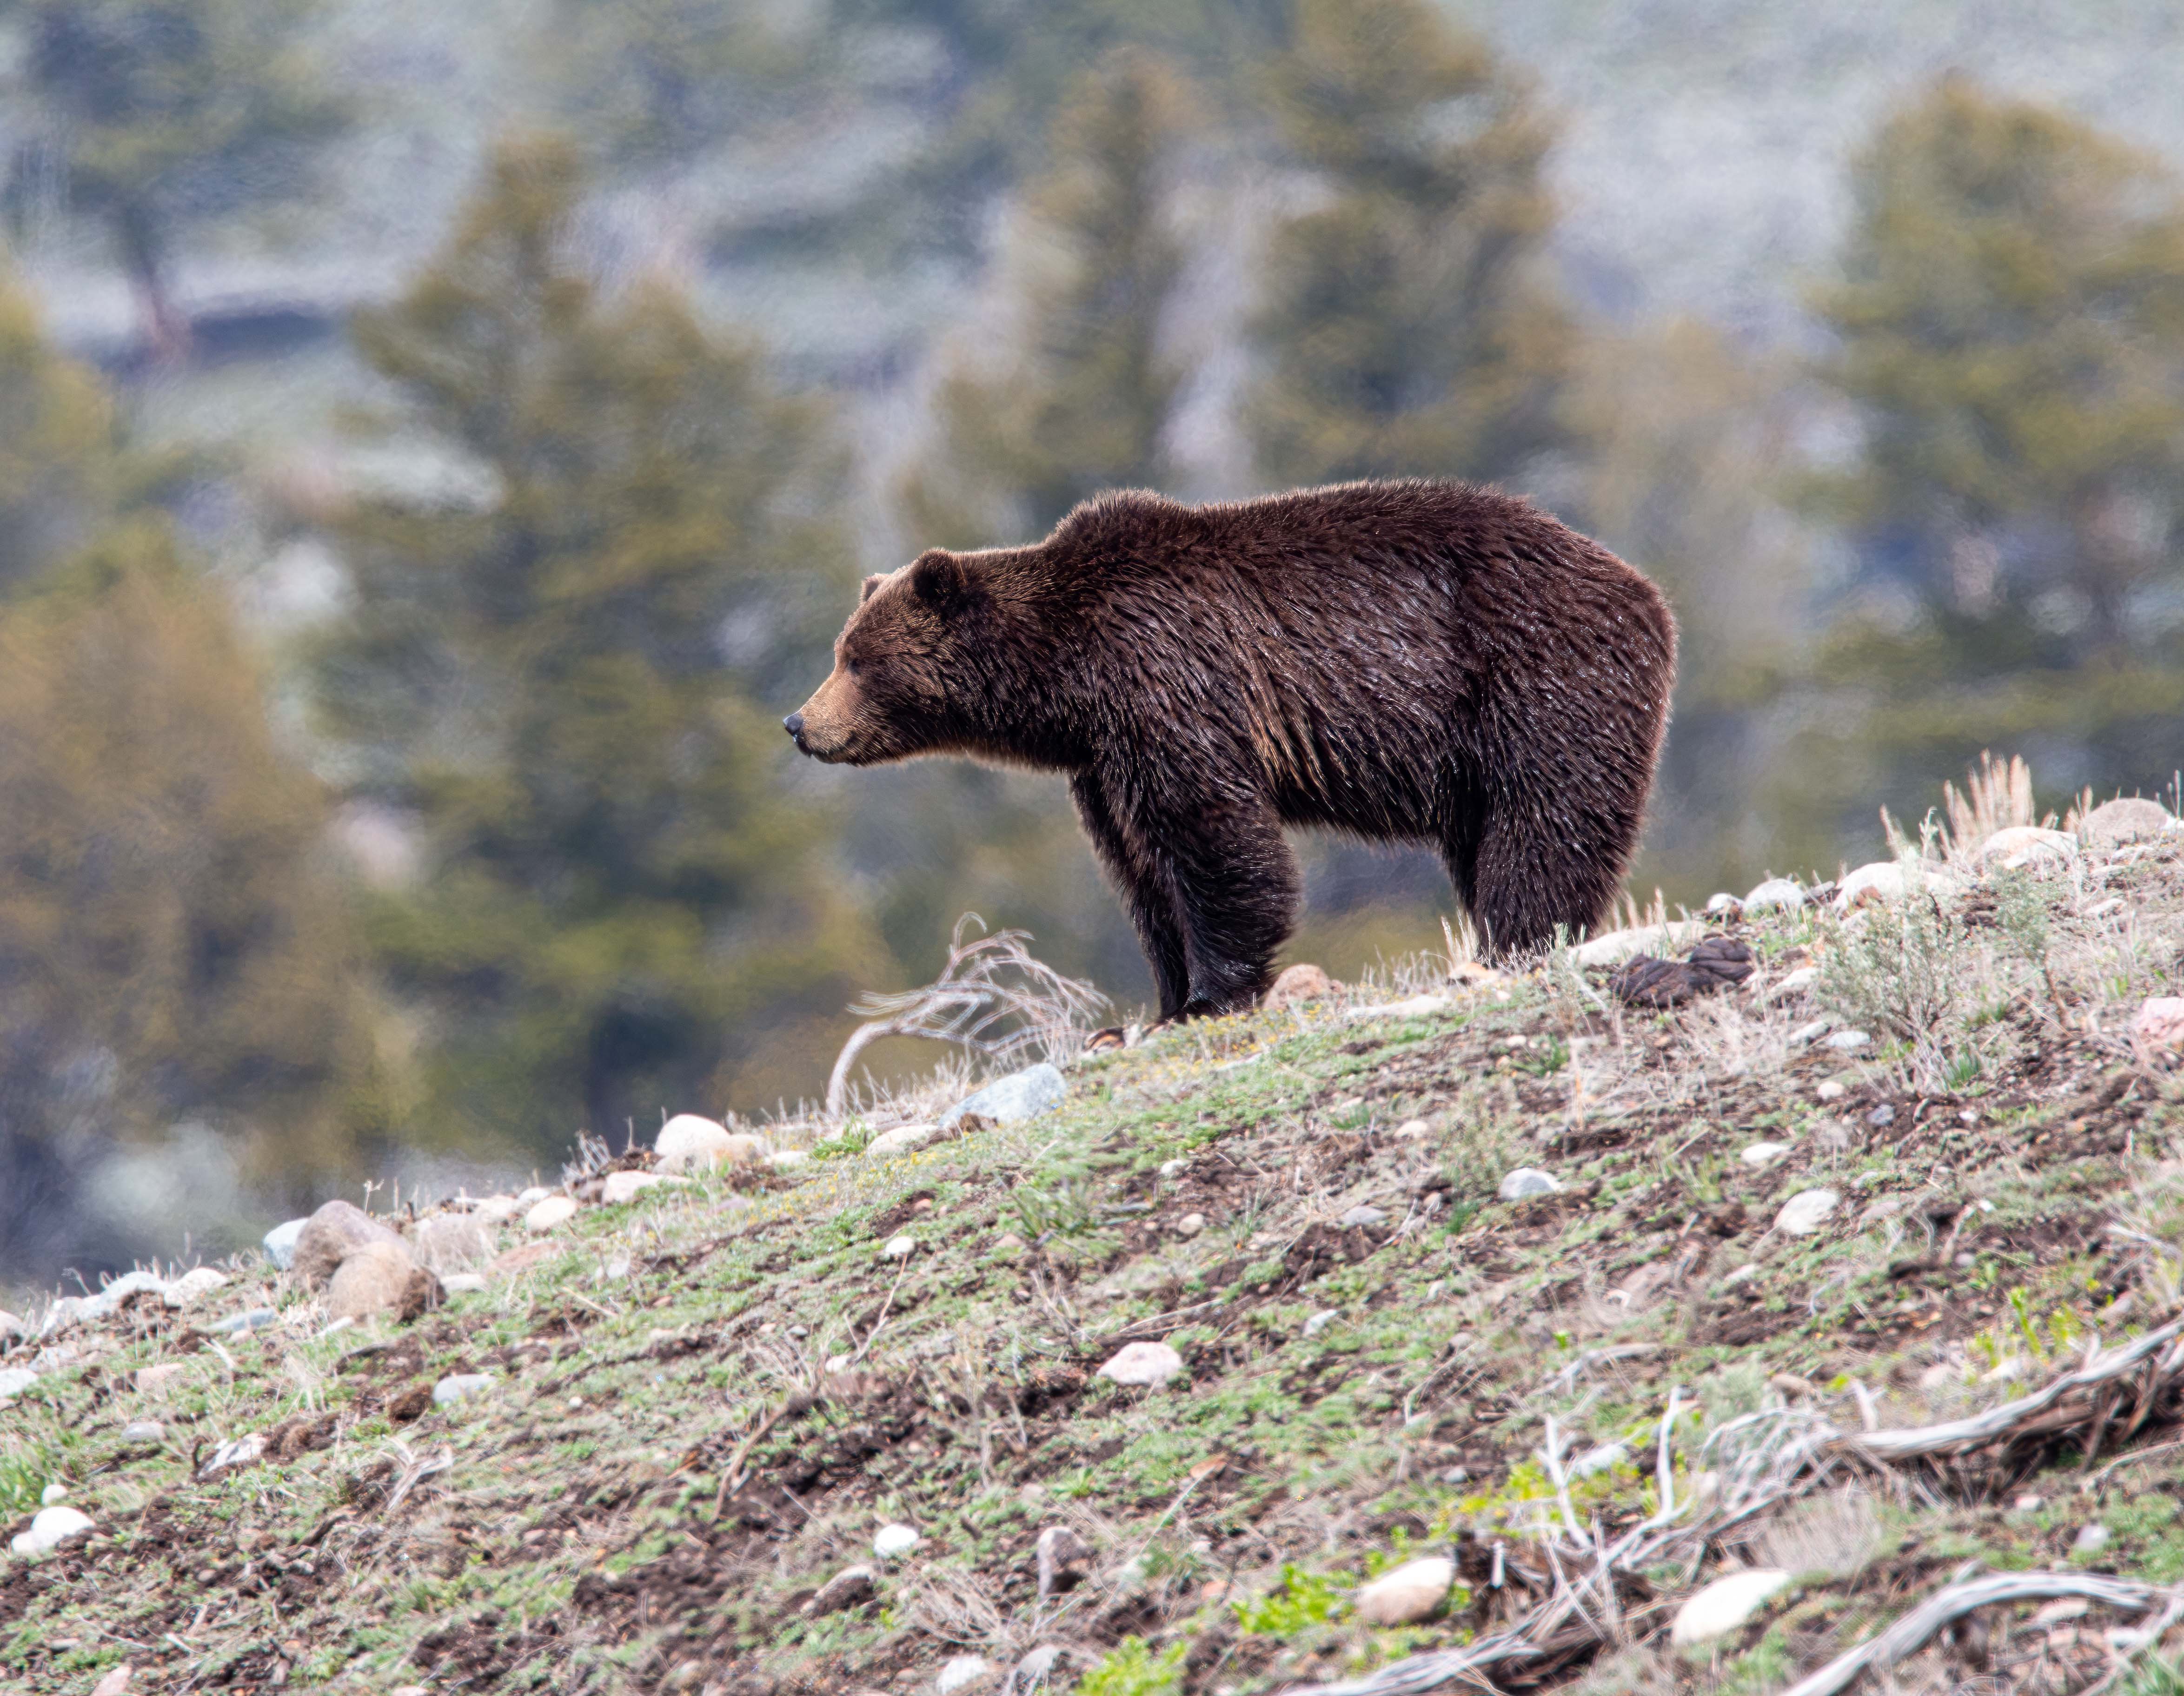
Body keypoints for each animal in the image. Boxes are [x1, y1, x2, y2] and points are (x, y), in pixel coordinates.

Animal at [795, 482, 1677, 1026]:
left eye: (857, 660)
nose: (799, 723)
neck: (1069, 681)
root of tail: (1645, 590)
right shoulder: (1102, 762)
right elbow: (1141, 868)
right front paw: (1161, 997)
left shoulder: (1170, 681)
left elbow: (1211, 837)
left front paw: (1212, 992)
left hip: (1532, 677)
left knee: (1546, 823)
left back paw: (1511, 942)